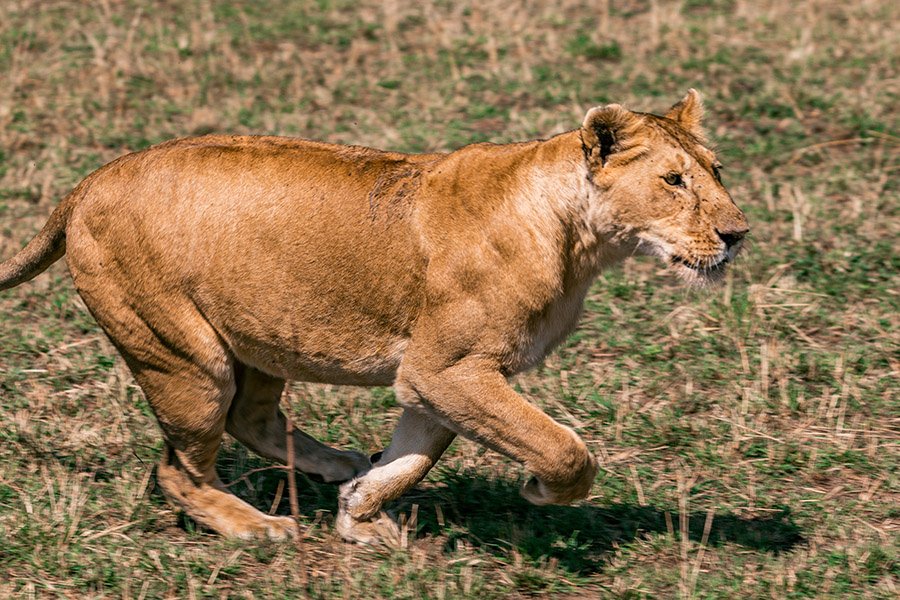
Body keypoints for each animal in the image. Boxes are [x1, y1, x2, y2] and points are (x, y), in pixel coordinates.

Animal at [0, 90, 748, 545]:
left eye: (716, 169)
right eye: (674, 181)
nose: (738, 234)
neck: (579, 239)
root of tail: (87, 182)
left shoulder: (434, 380)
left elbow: (410, 459)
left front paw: (359, 512)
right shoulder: (447, 369)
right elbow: (563, 446)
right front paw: (542, 489)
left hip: (263, 334)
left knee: (252, 417)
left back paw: (334, 464)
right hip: (186, 356)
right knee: (180, 469)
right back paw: (257, 527)